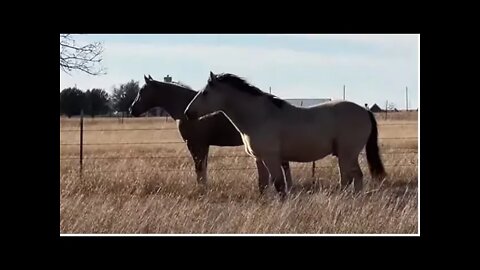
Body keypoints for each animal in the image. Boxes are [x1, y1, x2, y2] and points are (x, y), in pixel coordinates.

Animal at [129, 76, 290, 190]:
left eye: (142, 91)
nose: (132, 109)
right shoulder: (203, 145)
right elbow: (203, 169)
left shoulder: (196, 144)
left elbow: (199, 169)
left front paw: (201, 190)